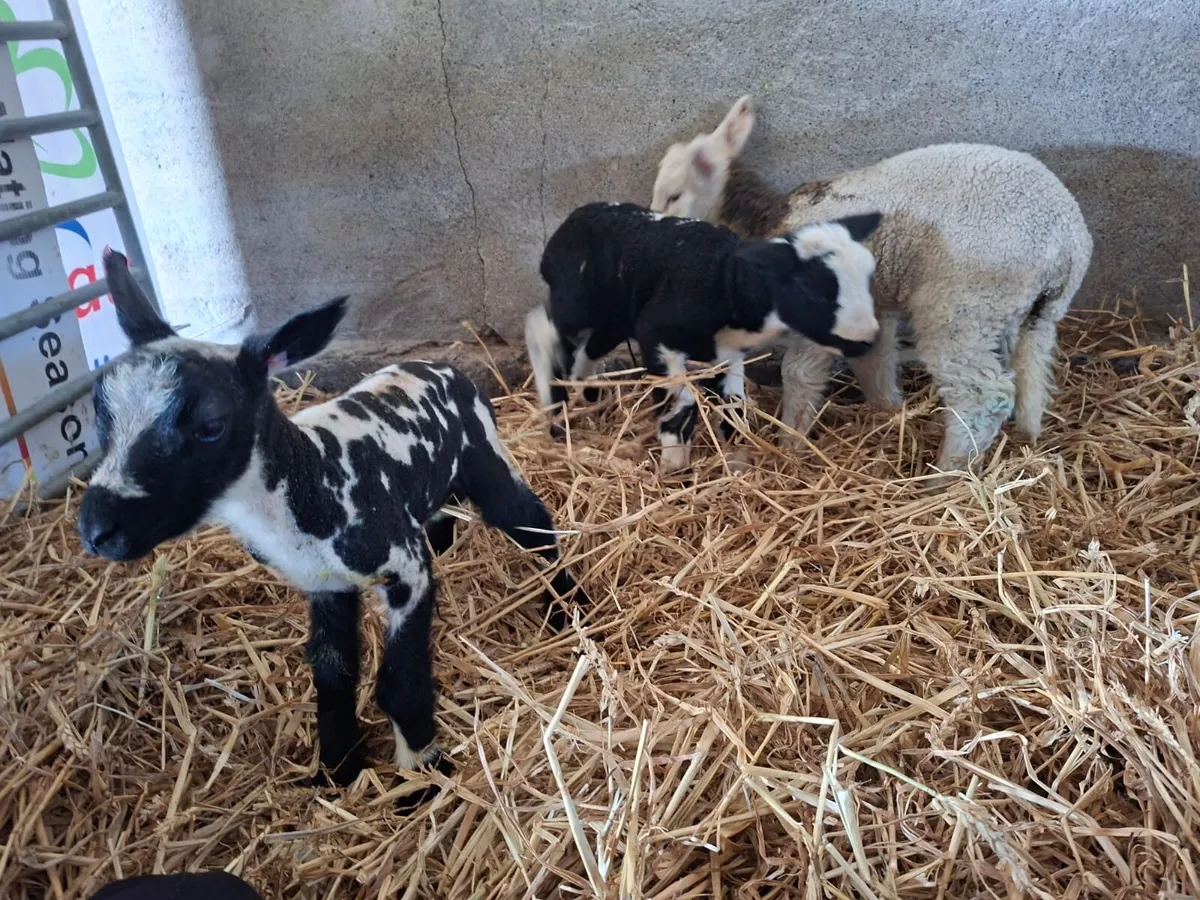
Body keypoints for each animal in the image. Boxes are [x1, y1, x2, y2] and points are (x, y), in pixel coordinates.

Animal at [77, 249, 588, 797]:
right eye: (100, 414)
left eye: (211, 426)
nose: (96, 530)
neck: (309, 477)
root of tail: (448, 365)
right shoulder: (324, 584)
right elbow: (332, 672)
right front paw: (338, 768)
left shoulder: (405, 569)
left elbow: (398, 683)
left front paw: (422, 779)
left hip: (483, 455)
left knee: (531, 521)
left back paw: (567, 605)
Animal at [525, 201, 882, 473]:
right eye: (815, 291)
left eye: (869, 276)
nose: (869, 340)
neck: (724, 282)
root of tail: (567, 226)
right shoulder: (656, 335)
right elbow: (680, 402)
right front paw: (674, 462)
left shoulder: (727, 354)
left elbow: (734, 403)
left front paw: (737, 453)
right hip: (577, 300)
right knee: (541, 329)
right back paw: (554, 408)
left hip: (614, 316)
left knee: (585, 353)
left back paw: (585, 396)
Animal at [651, 96, 1094, 484]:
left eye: (674, 194)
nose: (657, 232)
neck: (770, 220)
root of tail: (1067, 241)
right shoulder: (870, 304)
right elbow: (874, 360)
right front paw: (887, 411)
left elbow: (799, 373)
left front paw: (791, 443)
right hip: (1026, 312)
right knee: (1027, 370)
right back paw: (1024, 435)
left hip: (963, 303)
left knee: (982, 395)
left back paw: (944, 479)